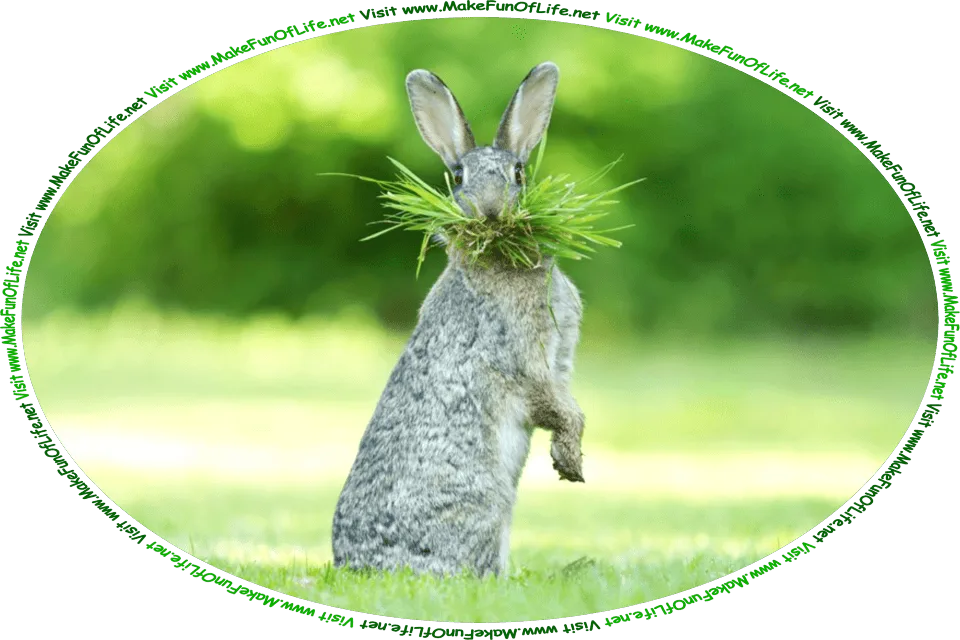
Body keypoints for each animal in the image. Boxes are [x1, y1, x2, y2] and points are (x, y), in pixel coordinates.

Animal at [331, 62, 585, 578]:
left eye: (519, 172)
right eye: (457, 176)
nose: (489, 210)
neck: (499, 260)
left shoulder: (560, 361)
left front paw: (569, 460)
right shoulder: (526, 360)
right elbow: (555, 405)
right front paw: (571, 462)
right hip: (487, 502)